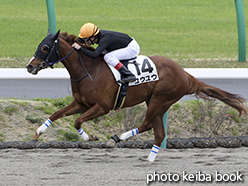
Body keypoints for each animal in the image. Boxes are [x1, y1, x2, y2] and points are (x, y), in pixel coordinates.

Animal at [27, 30, 246, 161]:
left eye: (45, 47)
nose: (30, 66)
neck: (88, 69)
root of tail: (186, 74)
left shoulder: (102, 107)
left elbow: (77, 122)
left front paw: (90, 137)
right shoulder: (81, 103)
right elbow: (56, 114)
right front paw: (37, 134)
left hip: (160, 99)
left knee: (147, 124)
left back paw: (117, 138)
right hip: (158, 102)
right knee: (159, 133)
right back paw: (150, 159)